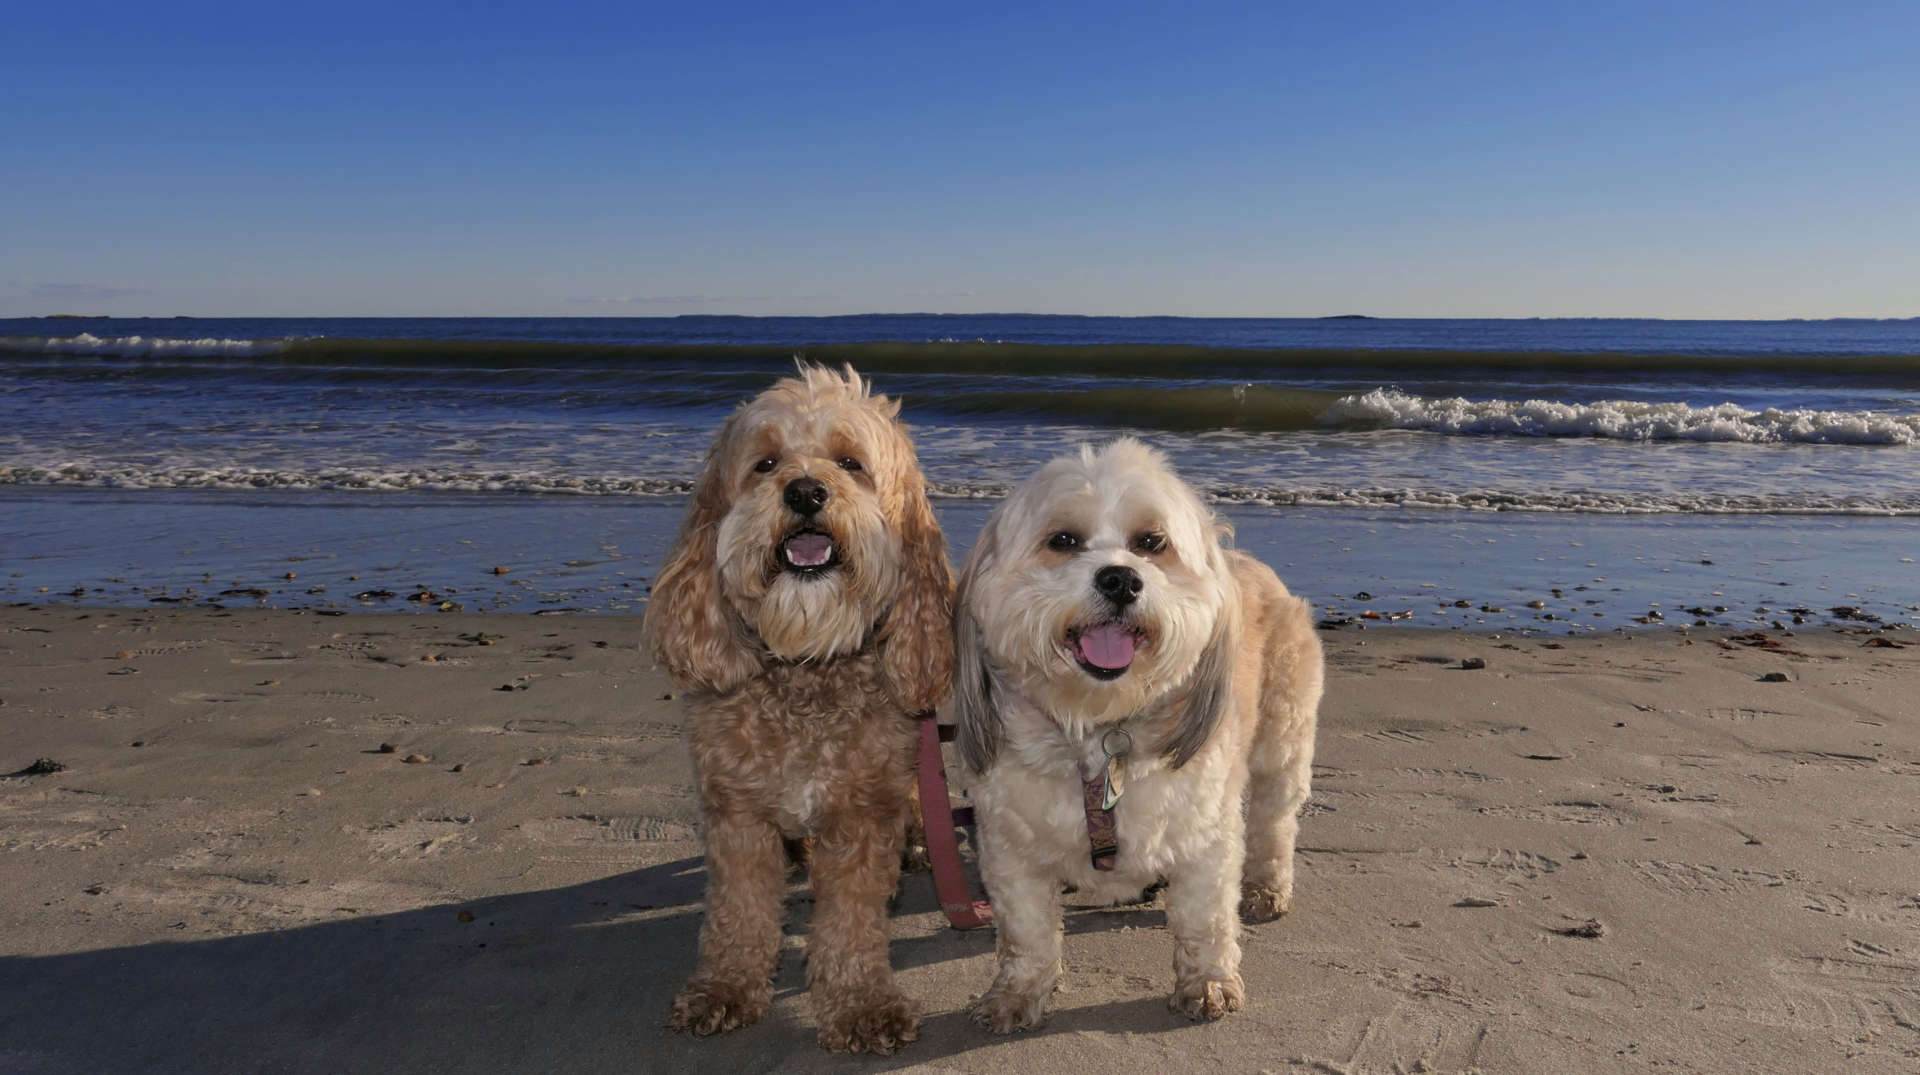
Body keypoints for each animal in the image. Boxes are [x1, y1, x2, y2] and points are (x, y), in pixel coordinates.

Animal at [645, 364, 952, 1051]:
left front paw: (861, 1002)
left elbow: (853, 923)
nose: (807, 491)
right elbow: (739, 911)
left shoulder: (863, 817)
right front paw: (727, 987)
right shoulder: (738, 815)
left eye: (850, 462)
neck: (807, 667)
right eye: (765, 463)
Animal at [956, 439, 1320, 1036]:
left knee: (1274, 820)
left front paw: (1208, 983)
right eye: (1062, 540)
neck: (1098, 730)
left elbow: (1204, 919)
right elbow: (1027, 931)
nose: (1121, 579)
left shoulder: (1204, 833)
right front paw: (1018, 992)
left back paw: (1267, 885)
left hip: (1282, 740)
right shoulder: (1010, 848)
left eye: (1152, 543)